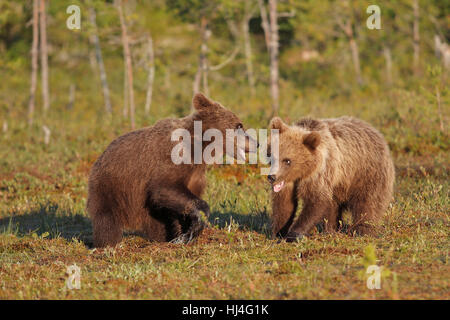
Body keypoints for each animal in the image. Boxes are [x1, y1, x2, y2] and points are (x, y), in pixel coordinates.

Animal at [87, 92, 256, 248]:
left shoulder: (195, 172)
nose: (256, 143)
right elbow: (165, 188)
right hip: (111, 186)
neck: (200, 147)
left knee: (158, 221)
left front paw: (188, 231)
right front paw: (199, 218)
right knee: (107, 219)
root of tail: (99, 158)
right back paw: (109, 244)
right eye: (239, 125)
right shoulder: (172, 158)